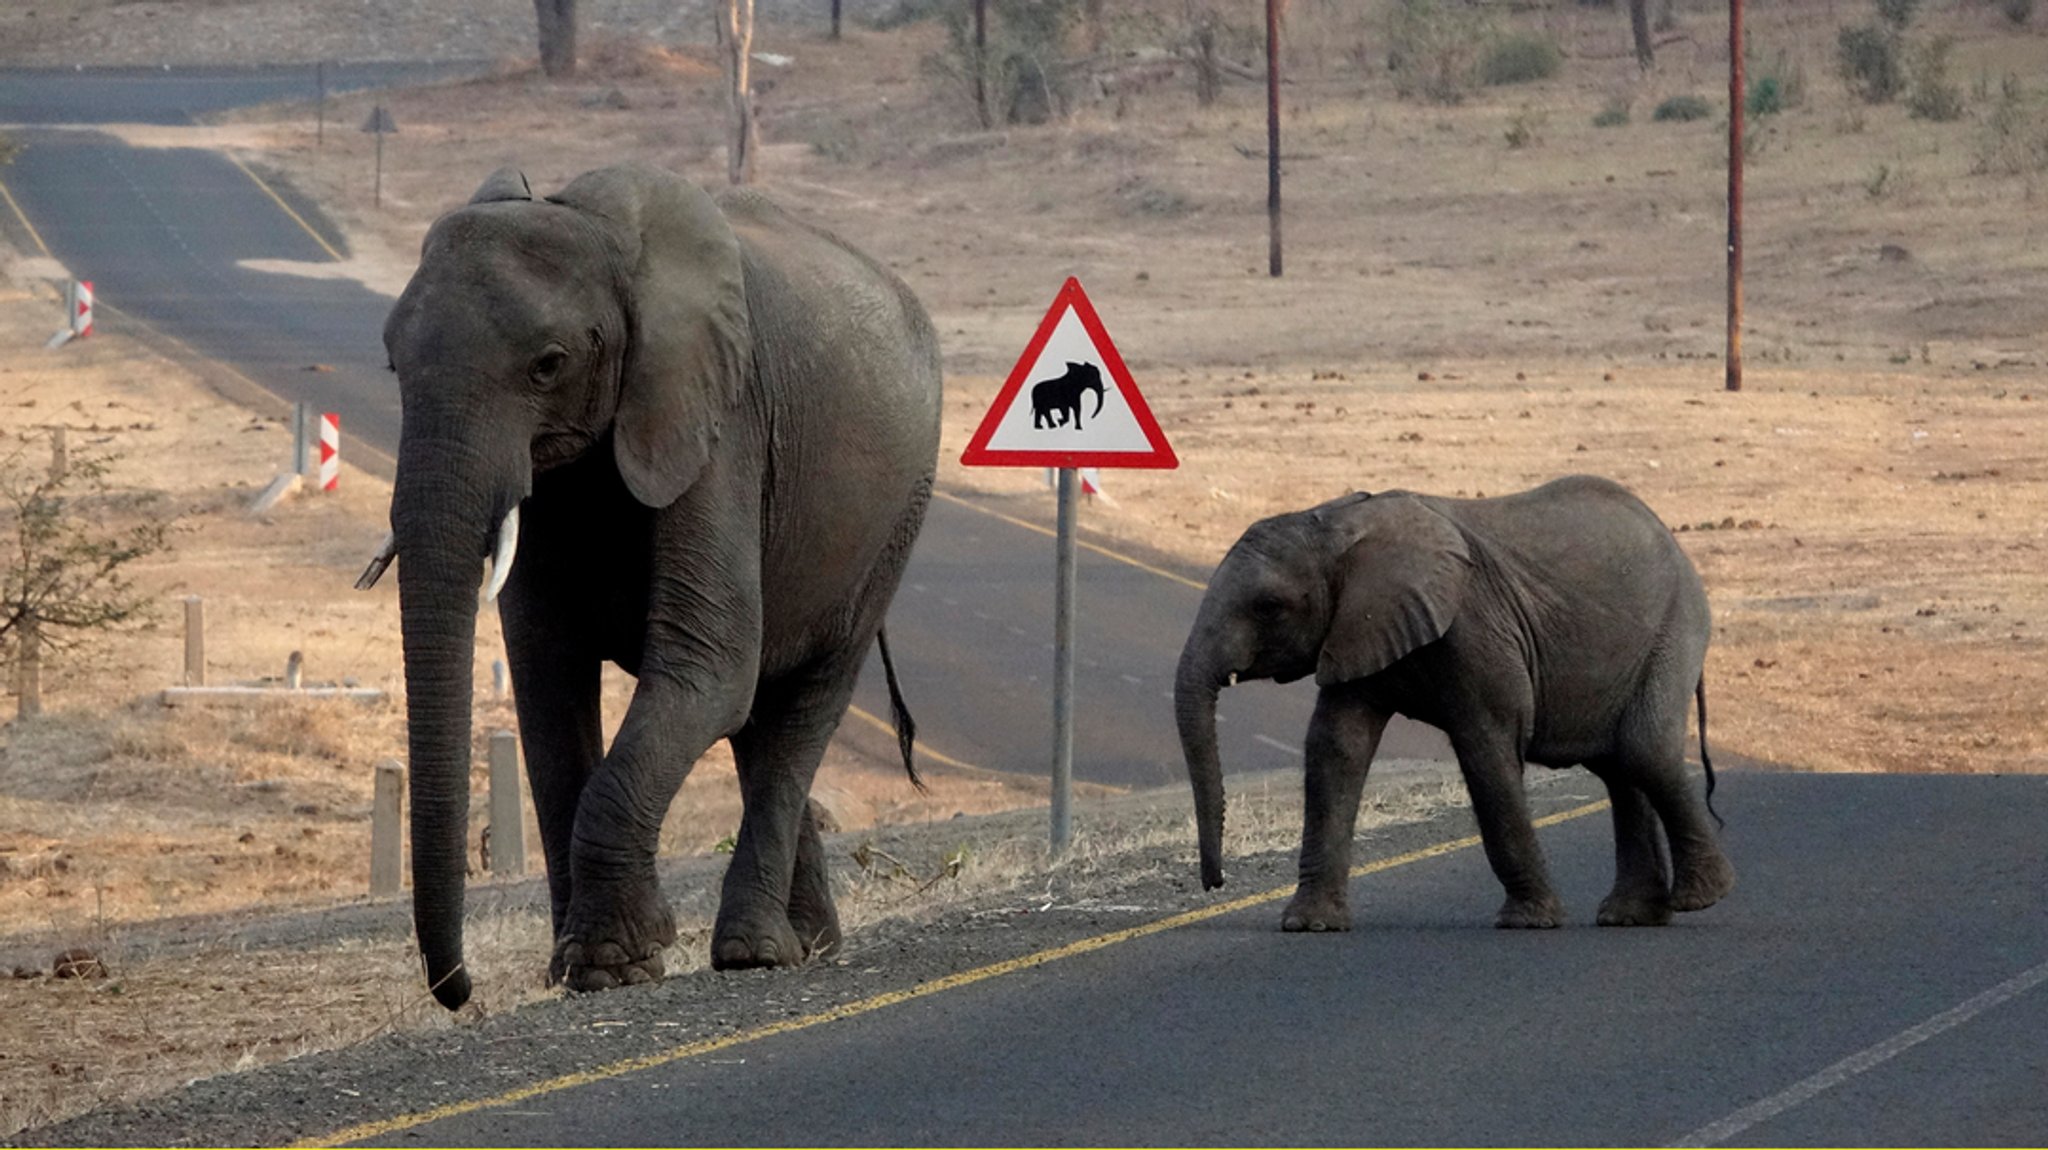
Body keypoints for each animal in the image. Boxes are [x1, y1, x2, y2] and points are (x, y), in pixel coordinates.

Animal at [362, 161, 942, 1002]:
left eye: (548, 364)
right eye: (392, 364)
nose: (461, 991)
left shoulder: (720, 421)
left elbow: (707, 666)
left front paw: (615, 961)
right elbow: (548, 682)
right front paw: (582, 967)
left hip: (895, 520)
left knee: (801, 705)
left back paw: (757, 952)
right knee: (760, 719)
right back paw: (811, 945)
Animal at [1179, 474, 1736, 933]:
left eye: (1268, 607)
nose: (1215, 882)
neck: (1337, 524)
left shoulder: (1475, 627)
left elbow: (1485, 747)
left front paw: (1527, 922)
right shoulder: (1358, 629)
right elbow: (1336, 748)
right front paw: (1308, 925)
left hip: (1675, 626)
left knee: (1644, 750)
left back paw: (1701, 899)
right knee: (1620, 768)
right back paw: (1631, 917)